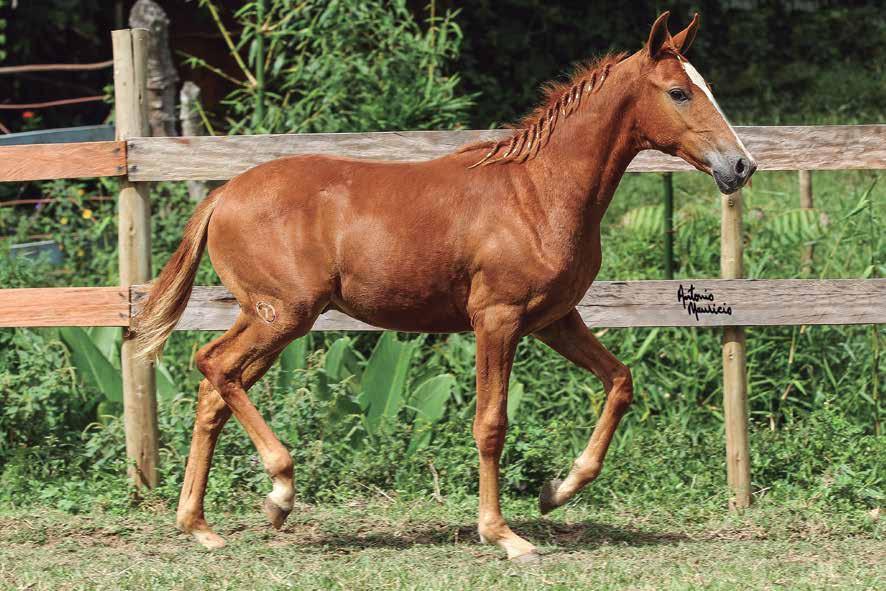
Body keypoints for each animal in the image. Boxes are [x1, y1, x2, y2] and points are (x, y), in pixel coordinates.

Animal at [137, 11, 756, 560]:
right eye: (679, 92)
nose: (741, 166)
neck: (537, 192)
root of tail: (222, 194)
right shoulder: (497, 319)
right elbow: (490, 424)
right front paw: (504, 536)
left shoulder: (555, 320)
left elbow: (620, 382)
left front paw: (555, 492)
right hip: (284, 314)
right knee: (214, 367)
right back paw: (279, 494)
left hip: (266, 317)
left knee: (213, 390)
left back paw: (200, 525)